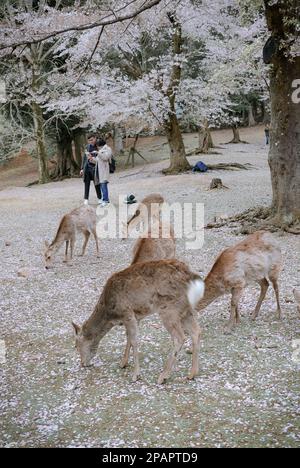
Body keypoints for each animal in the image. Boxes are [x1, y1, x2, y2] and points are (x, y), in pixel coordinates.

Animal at [71, 260, 205, 384]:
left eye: (76, 345)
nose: (82, 363)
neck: (111, 314)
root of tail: (191, 277)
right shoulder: (136, 317)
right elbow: (129, 337)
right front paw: (123, 363)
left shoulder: (127, 313)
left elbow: (135, 341)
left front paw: (136, 375)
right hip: (186, 310)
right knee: (197, 331)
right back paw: (192, 374)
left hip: (169, 310)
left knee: (180, 337)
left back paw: (163, 376)